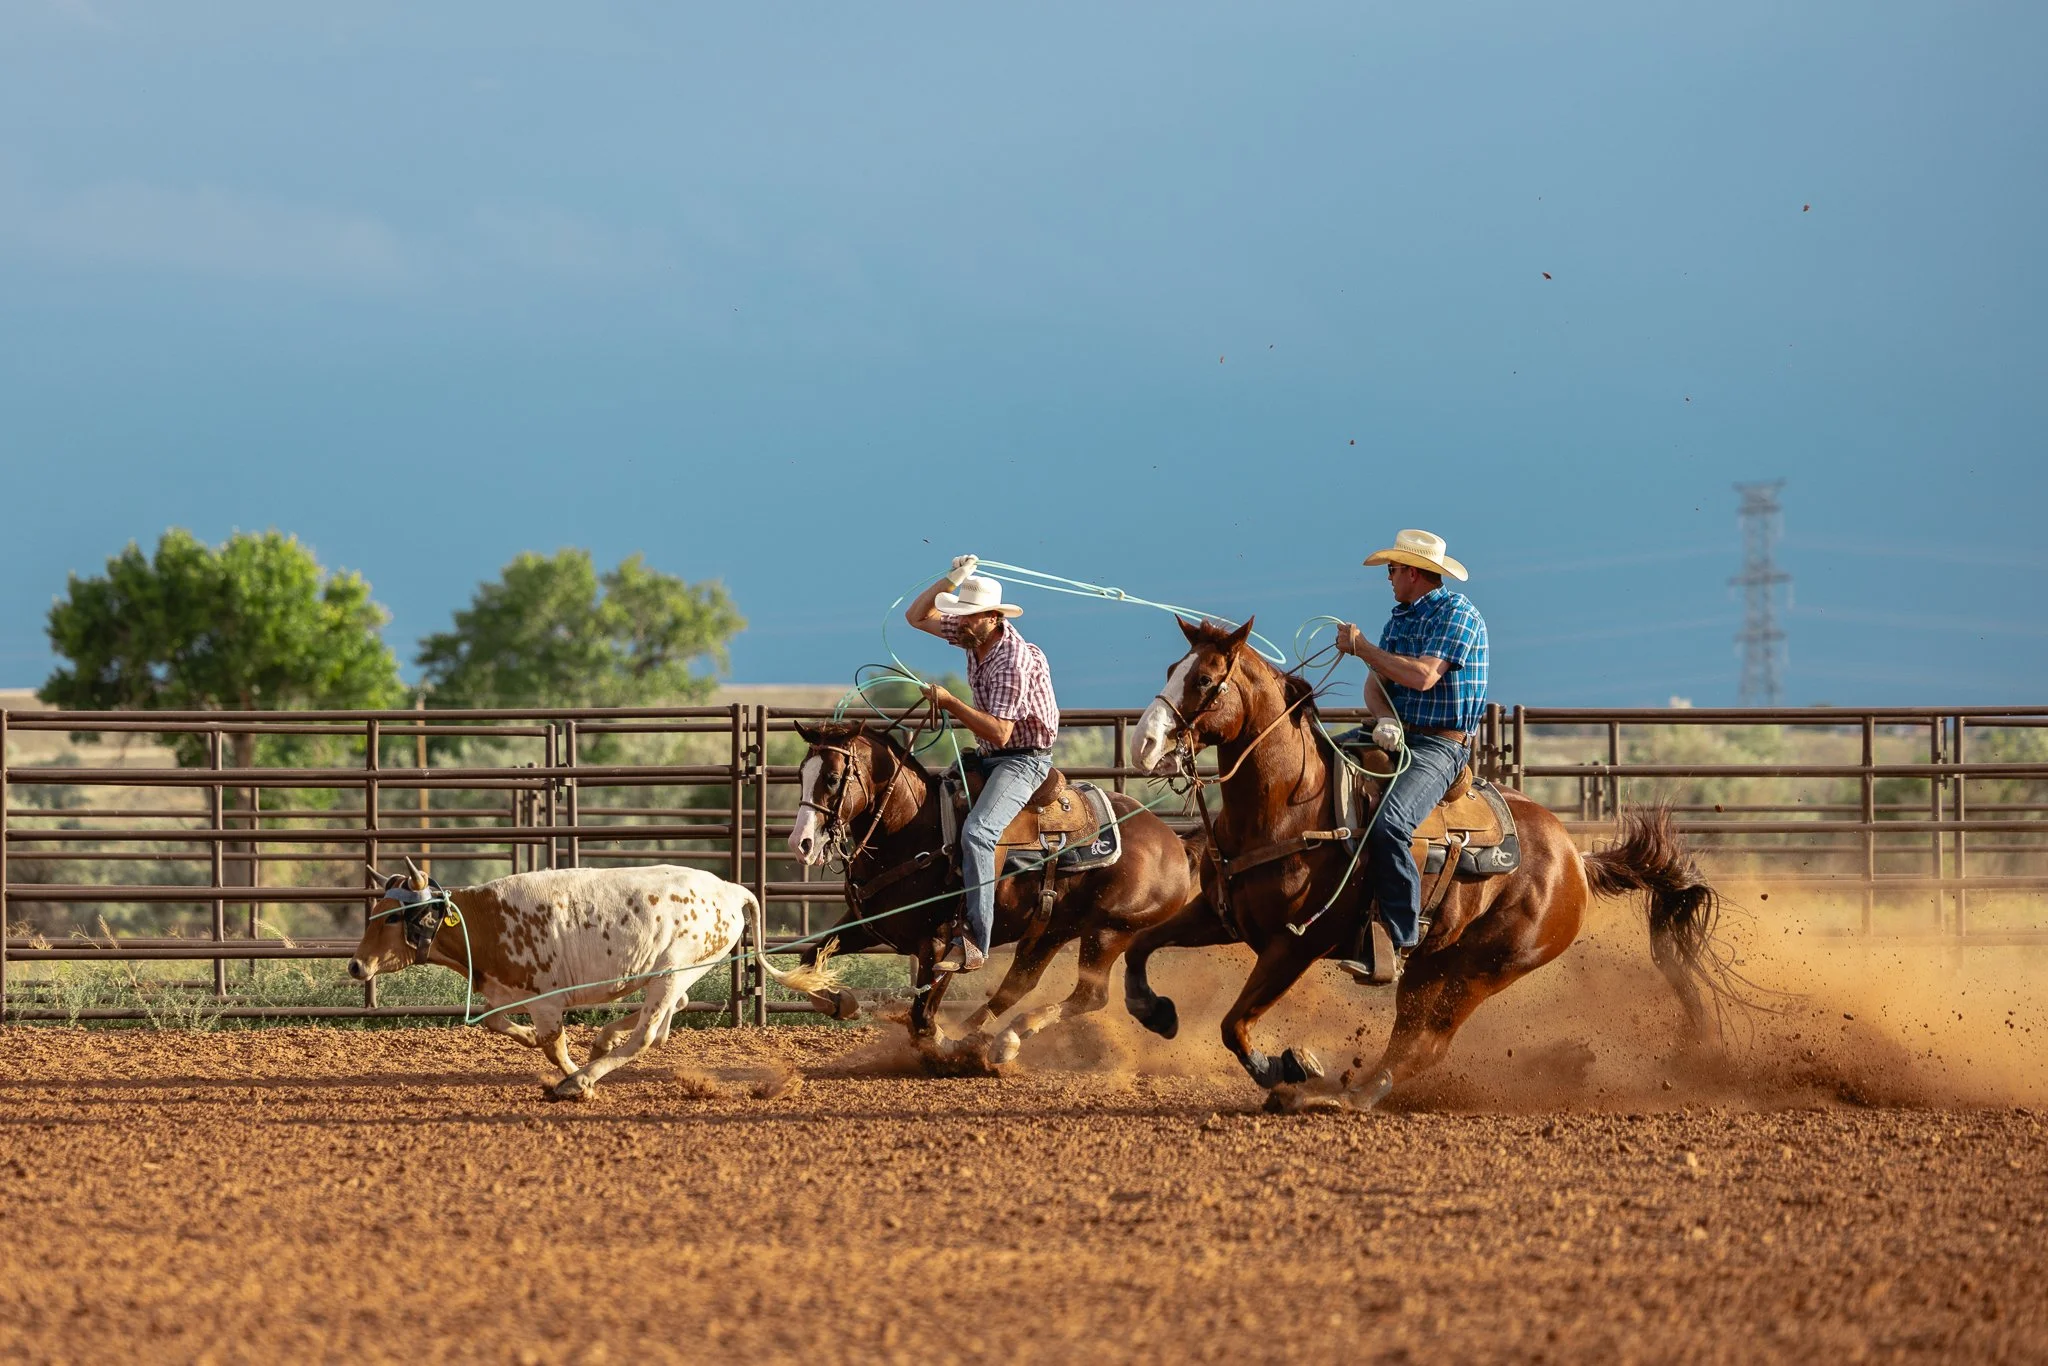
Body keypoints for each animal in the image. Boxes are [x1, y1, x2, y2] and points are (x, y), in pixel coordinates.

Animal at [347, 860, 845, 1101]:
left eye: (392, 917)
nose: (356, 966)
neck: (482, 920)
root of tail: (730, 889)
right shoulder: (505, 992)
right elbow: (496, 1023)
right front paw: (534, 1042)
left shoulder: (546, 1001)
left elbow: (553, 1046)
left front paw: (572, 1079)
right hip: (678, 972)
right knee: (670, 1015)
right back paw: (604, 1041)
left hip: (675, 968)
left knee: (650, 1032)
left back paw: (588, 1072)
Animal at [786, 719, 1199, 1063]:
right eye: (801, 774)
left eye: (833, 778)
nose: (801, 843)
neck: (913, 830)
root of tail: (1174, 843)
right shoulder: (865, 925)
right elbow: (808, 961)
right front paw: (843, 1001)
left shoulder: (939, 944)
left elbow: (922, 1018)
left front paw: (942, 1045)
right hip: (1052, 930)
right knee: (1017, 985)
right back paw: (985, 1035)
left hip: (1109, 932)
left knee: (1089, 996)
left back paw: (1004, 1038)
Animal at [1121, 616, 1725, 1111]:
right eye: (1173, 669)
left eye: (1205, 680)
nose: (1144, 744)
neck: (1290, 806)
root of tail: (1574, 857)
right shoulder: (1220, 917)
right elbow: (1141, 946)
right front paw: (1152, 1009)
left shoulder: (1297, 943)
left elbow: (1235, 1024)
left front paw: (1288, 1067)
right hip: (1434, 961)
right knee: (1413, 1034)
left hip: (1485, 968)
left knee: (1425, 1044)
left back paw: (1344, 1096)